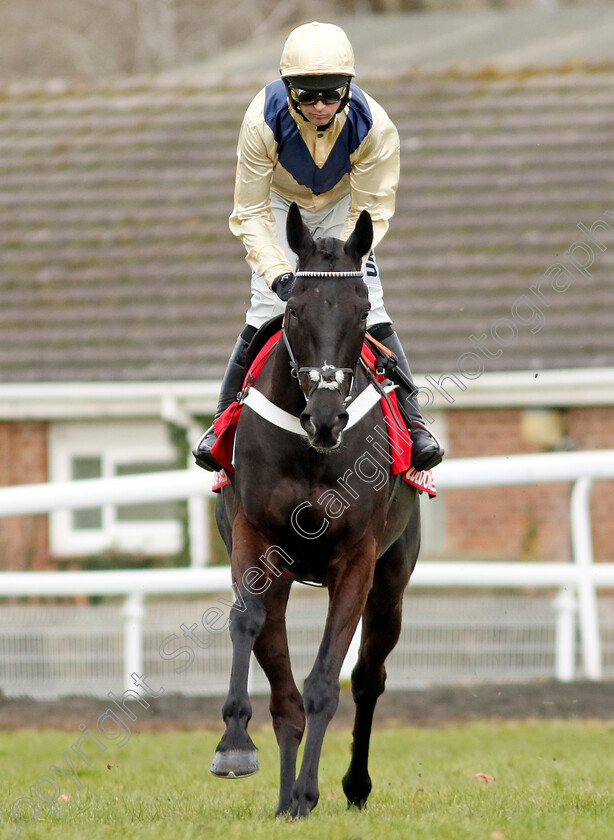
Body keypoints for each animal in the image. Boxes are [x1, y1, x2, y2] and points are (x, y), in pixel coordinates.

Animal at [213, 203, 424, 820]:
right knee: (283, 692)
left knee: (369, 677)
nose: (327, 418)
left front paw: (312, 789)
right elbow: (246, 621)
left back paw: (349, 785)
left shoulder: (357, 559)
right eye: (294, 310)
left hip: (392, 581)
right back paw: (286, 799)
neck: (310, 449)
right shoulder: (253, 536)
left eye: (361, 312)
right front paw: (235, 746)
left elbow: (328, 681)